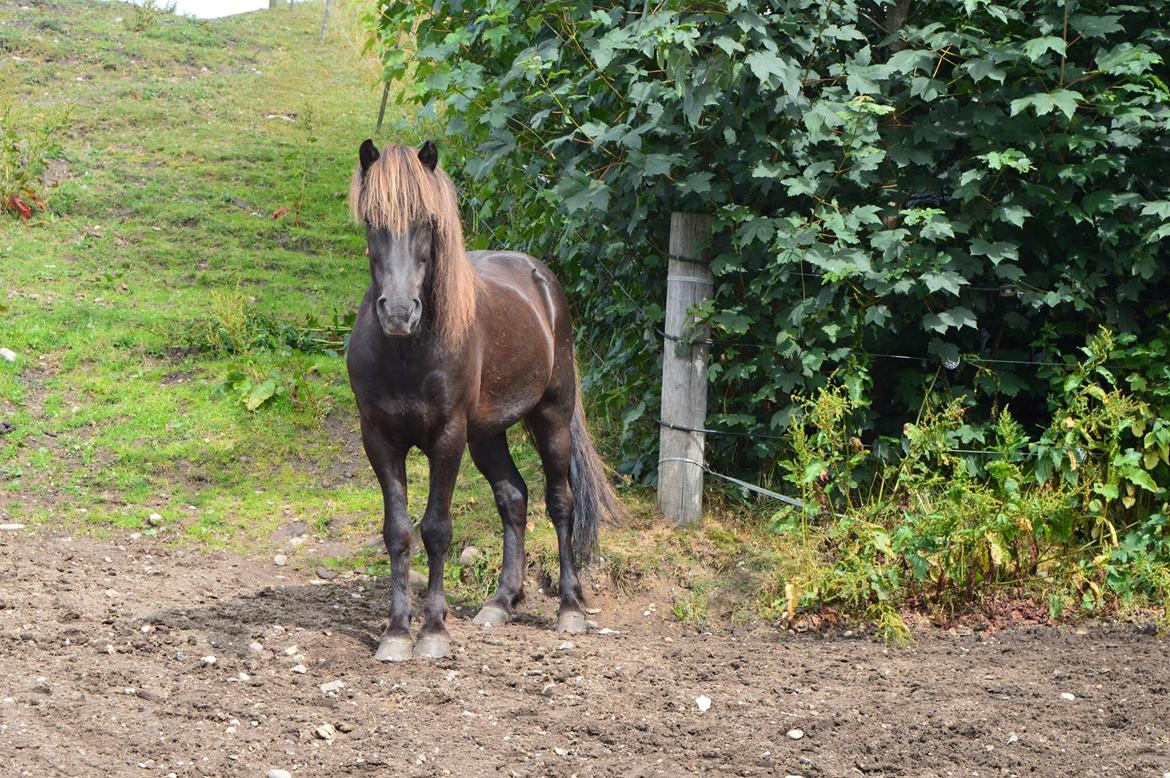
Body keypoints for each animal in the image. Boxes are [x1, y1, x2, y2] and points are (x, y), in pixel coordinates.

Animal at [343, 139, 622, 659]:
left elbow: (436, 529)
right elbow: (398, 531)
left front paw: (433, 630)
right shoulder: (380, 440)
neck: (407, 353)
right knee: (513, 498)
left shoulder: (448, 437)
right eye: (372, 220)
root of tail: (540, 278)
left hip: (551, 417)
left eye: (427, 222)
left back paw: (570, 608)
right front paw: (396, 632)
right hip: (488, 434)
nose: (398, 312)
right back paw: (501, 601)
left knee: (560, 501)